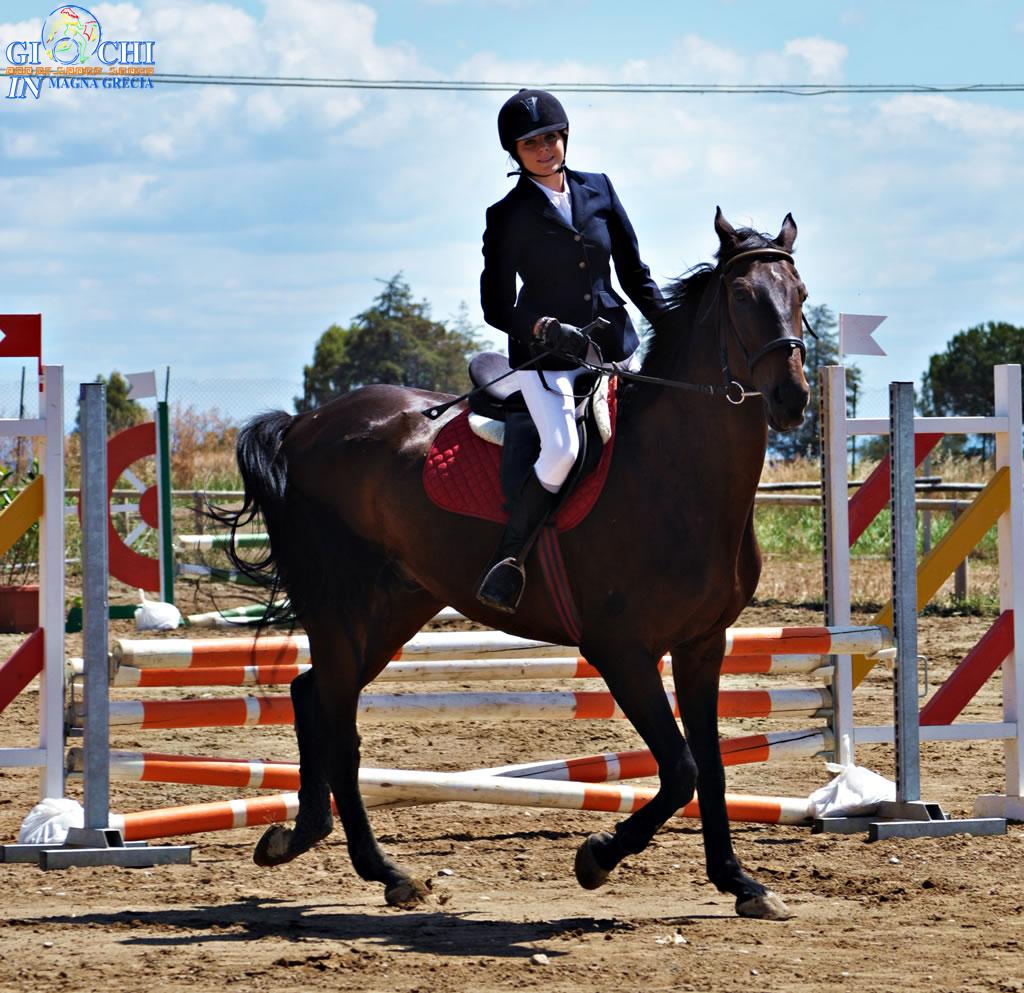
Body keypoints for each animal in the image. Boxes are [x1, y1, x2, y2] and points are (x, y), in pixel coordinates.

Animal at [216, 208, 806, 921]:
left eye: (801, 296)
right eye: (743, 297)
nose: (793, 399)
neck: (678, 473)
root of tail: (304, 424)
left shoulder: (703, 643)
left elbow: (711, 766)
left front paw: (740, 882)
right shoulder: (620, 649)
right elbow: (681, 768)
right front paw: (596, 857)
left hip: (396, 605)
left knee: (314, 698)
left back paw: (306, 839)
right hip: (339, 605)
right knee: (337, 721)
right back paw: (383, 869)